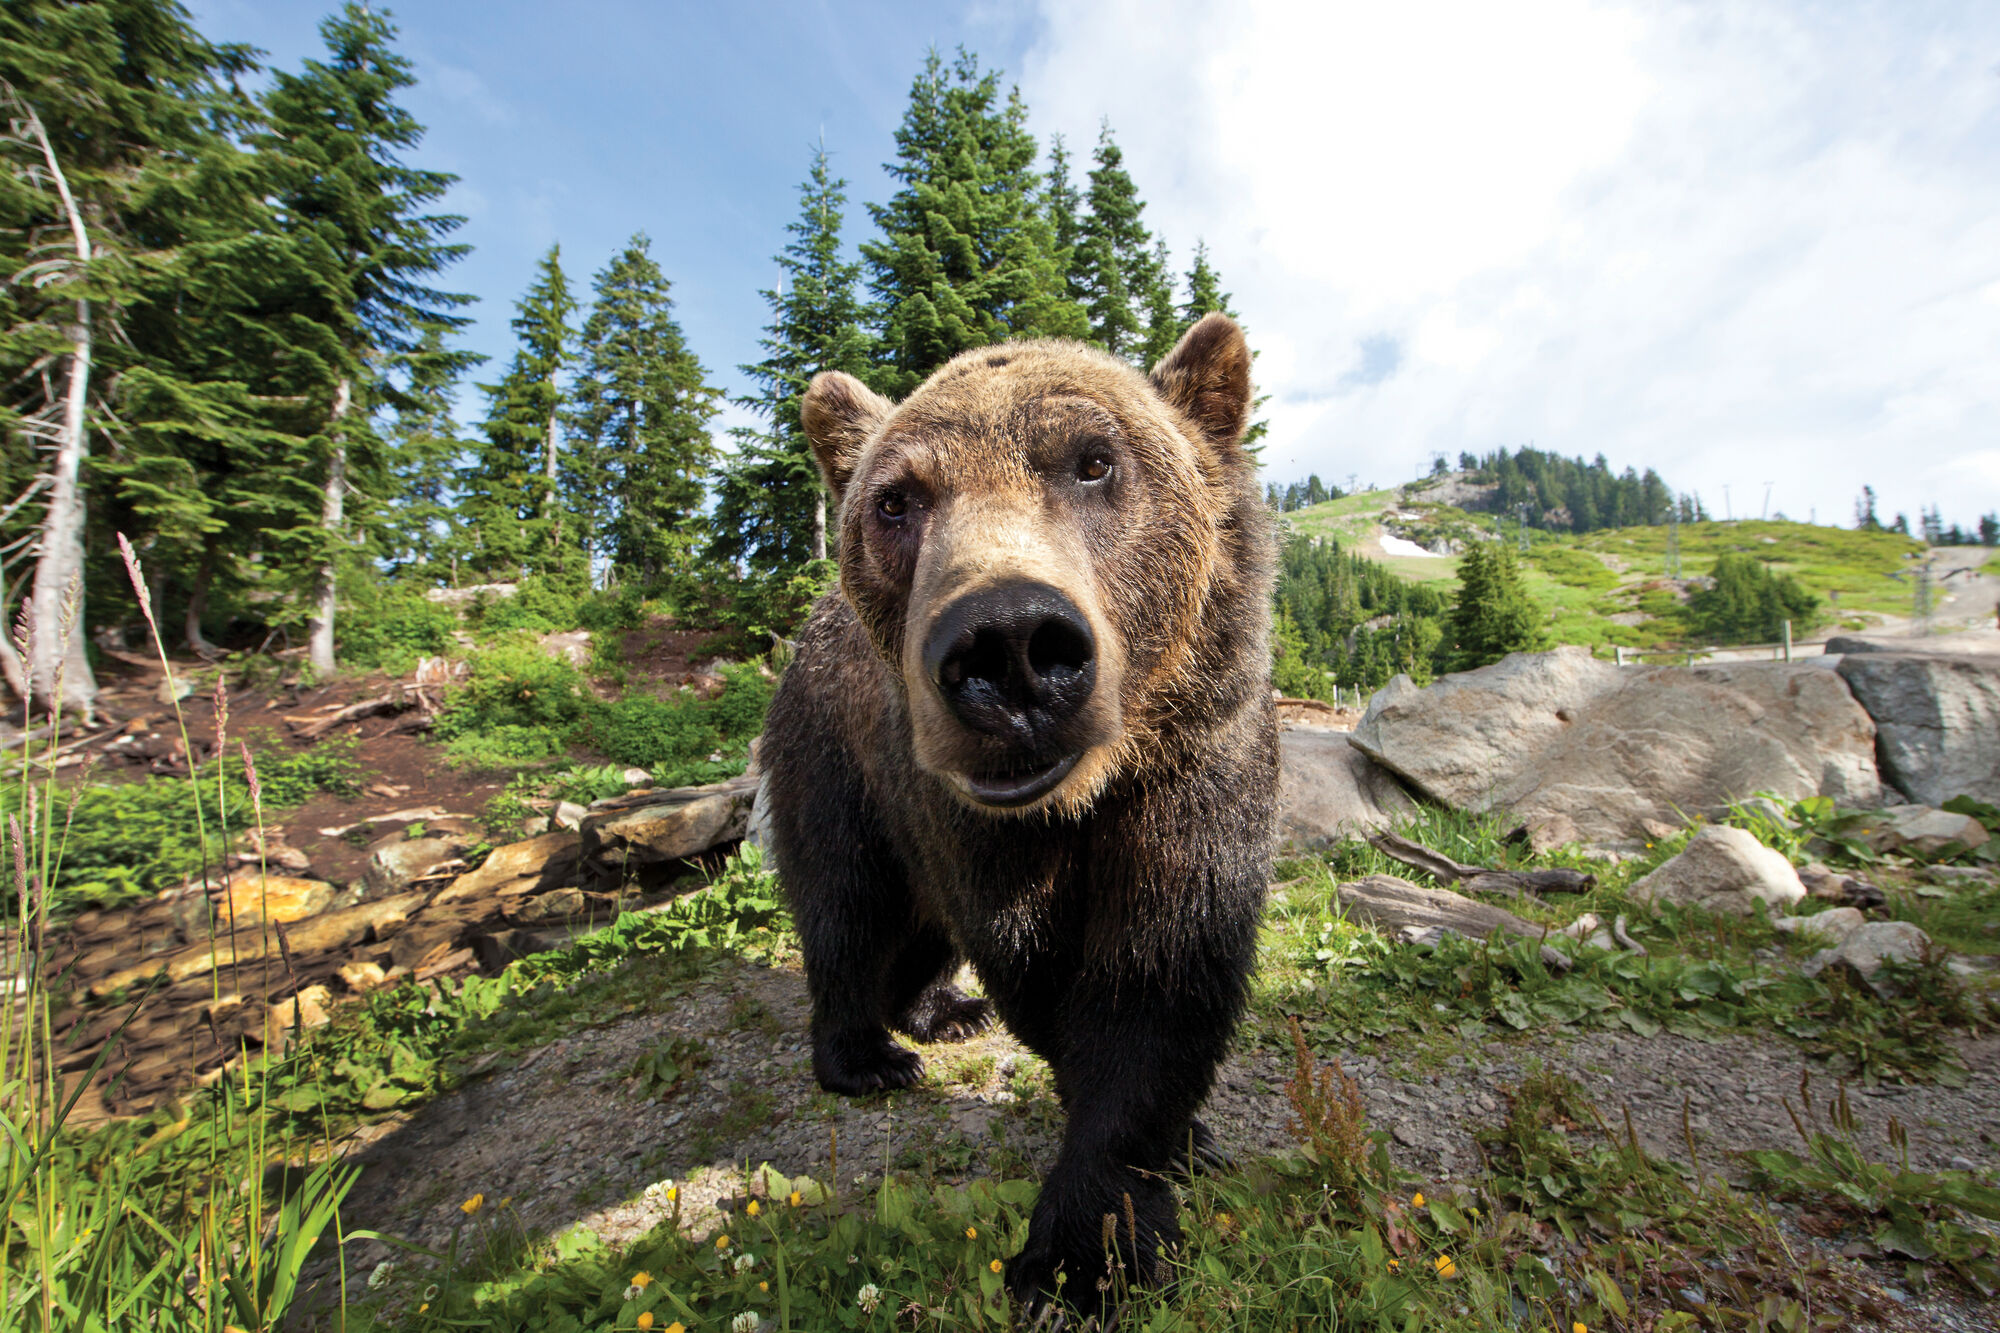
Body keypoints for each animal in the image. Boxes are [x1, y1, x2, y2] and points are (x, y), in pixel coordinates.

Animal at [756, 314, 1272, 1320]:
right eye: (895, 500)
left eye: (1094, 460)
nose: (1010, 645)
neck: (1086, 796)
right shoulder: (970, 819)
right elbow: (1037, 963)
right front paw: (1076, 1259)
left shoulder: (1199, 772)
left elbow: (1162, 970)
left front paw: (1125, 1201)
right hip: (834, 763)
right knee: (846, 905)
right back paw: (865, 1053)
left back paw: (941, 1009)